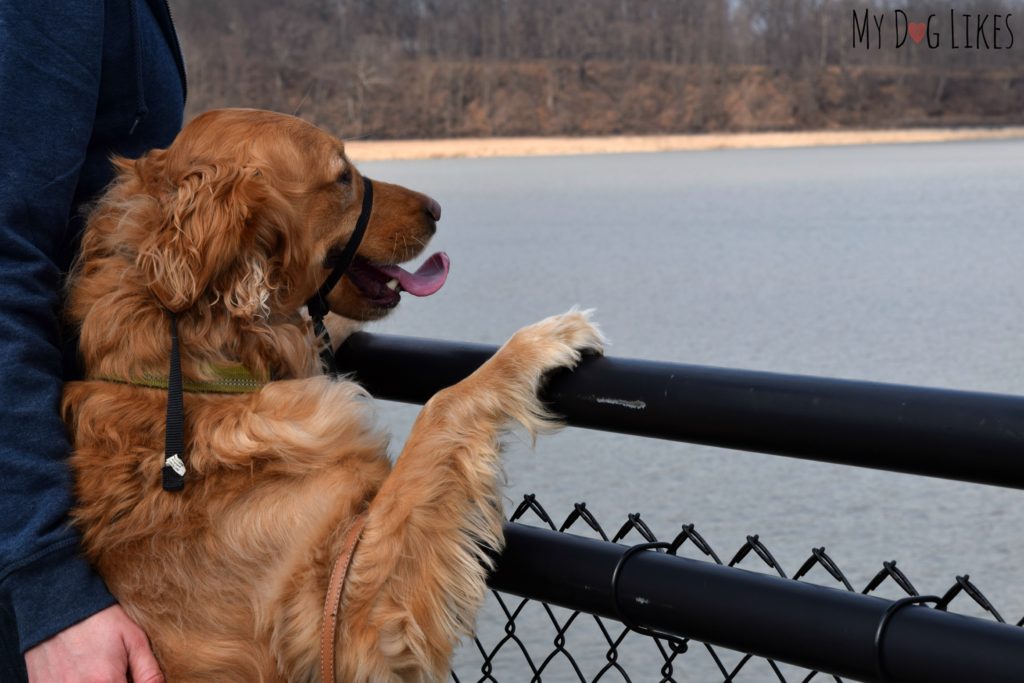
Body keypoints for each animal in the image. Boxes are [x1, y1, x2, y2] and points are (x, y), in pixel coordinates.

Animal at [59, 109, 602, 679]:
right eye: (342, 178)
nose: (436, 208)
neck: (195, 373)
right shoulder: (348, 626)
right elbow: (441, 406)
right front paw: (537, 342)